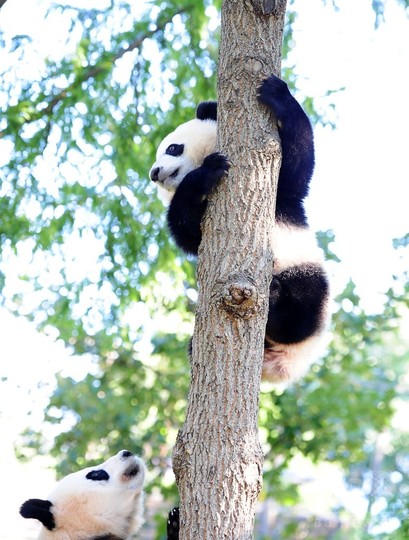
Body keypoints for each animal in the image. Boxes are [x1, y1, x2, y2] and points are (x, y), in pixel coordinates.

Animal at [148, 74, 330, 382]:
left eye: (173, 148)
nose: (154, 173)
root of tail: (284, 364)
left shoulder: (282, 196)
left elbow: (298, 165)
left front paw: (277, 93)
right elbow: (186, 230)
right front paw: (206, 173)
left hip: (306, 270)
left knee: (303, 307)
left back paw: (276, 298)